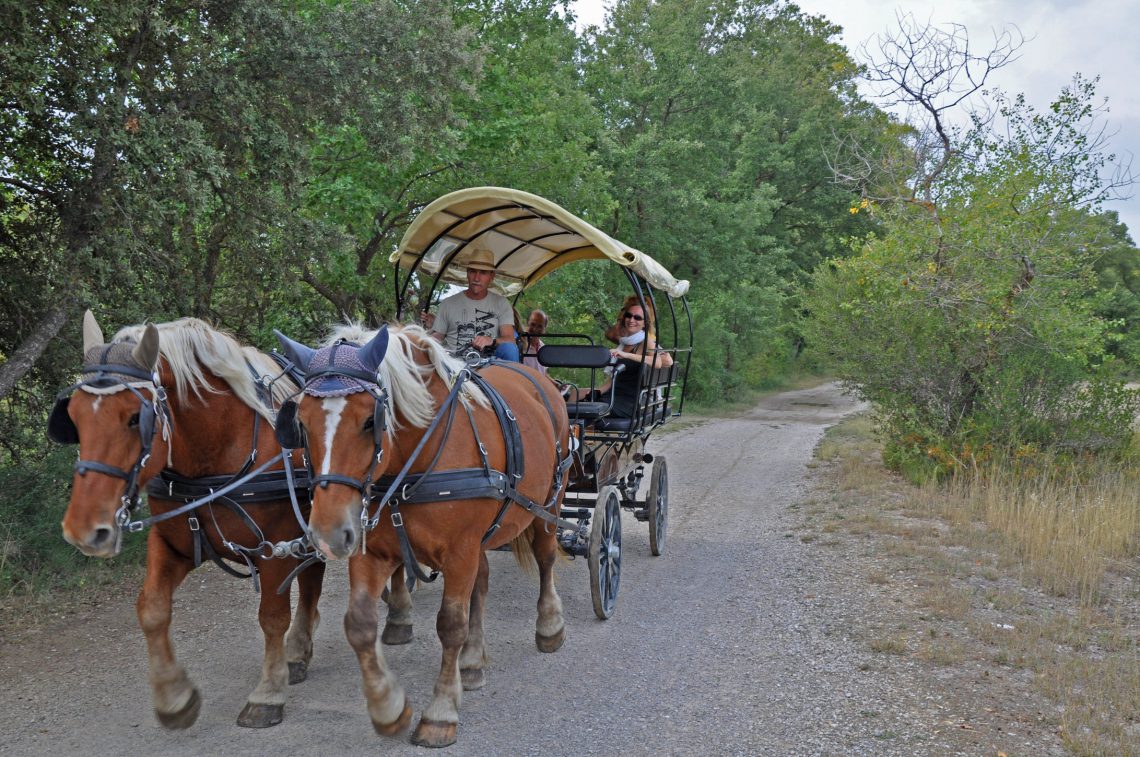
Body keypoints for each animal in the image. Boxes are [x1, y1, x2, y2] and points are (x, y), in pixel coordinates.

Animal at [47, 312, 326, 729]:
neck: (217, 447)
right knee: (312, 581)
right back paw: (298, 651)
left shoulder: (275, 546)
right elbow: (152, 609)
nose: (83, 530)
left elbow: (272, 617)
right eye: (74, 417)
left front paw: (267, 694)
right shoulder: (172, 543)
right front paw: (174, 695)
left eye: (135, 418)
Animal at [275, 321, 570, 747]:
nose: (328, 534)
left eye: (370, 421)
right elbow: (359, 624)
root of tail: (544, 383)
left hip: (548, 504)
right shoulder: (373, 551)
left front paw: (440, 712)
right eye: (301, 421)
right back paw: (472, 661)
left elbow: (450, 625)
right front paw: (388, 707)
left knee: (545, 558)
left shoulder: (460, 550)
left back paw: (549, 626)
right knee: (481, 583)